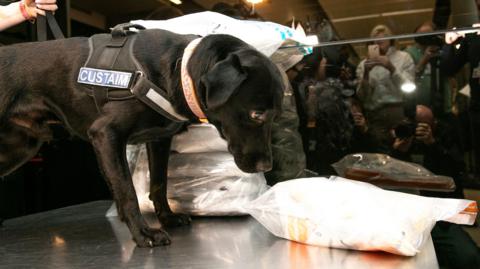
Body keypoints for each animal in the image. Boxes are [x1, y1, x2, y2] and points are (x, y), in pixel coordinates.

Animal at [0, 28, 284, 245]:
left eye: (276, 115)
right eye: (257, 114)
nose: (266, 166)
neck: (179, 67)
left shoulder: (159, 140)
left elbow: (159, 183)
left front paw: (167, 217)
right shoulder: (105, 134)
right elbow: (126, 190)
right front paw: (143, 233)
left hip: (20, 147)